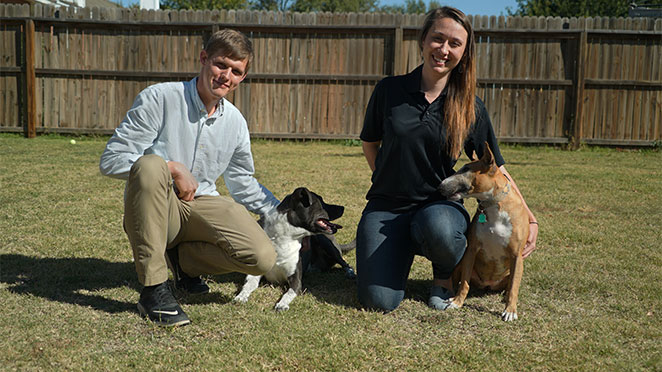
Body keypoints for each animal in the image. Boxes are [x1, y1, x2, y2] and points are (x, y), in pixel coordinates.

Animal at [438, 144, 532, 322]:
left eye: (466, 168)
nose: (440, 186)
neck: (494, 205)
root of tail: (488, 284)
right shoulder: (471, 250)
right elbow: (464, 283)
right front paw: (457, 302)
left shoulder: (517, 255)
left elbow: (514, 288)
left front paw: (510, 311)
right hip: (461, 264)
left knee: (510, 285)